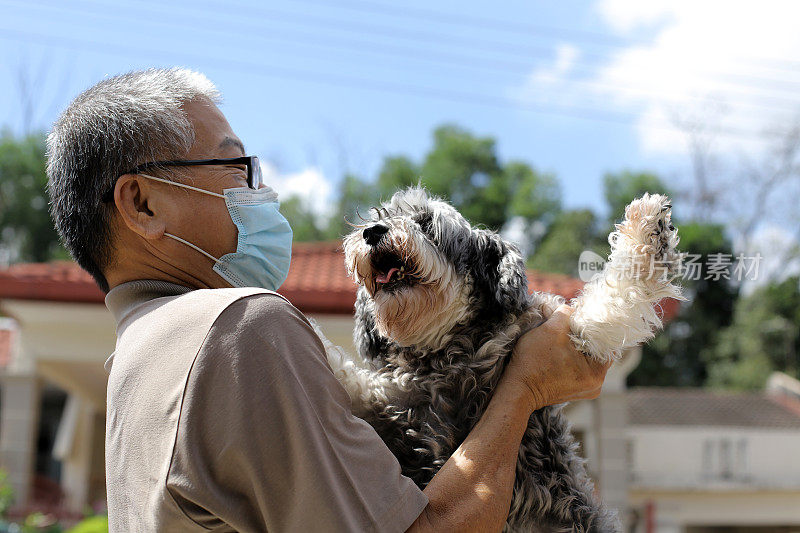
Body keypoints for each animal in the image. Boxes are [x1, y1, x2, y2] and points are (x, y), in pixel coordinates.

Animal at [318, 186, 676, 528]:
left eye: (426, 222)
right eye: (382, 215)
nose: (372, 231)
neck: (444, 353)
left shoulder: (563, 328)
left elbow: (610, 296)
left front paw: (647, 228)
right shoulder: (388, 402)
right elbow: (347, 377)